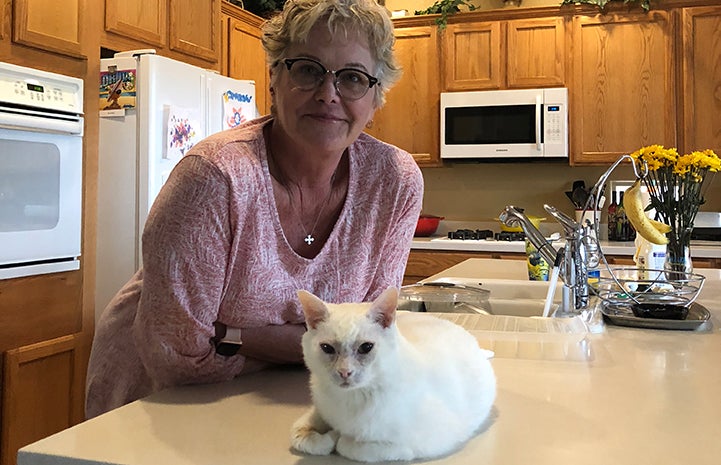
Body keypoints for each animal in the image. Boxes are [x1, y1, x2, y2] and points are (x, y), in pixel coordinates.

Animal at [286, 286, 496, 460]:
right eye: (327, 348)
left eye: (366, 347)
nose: (345, 372)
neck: (352, 397)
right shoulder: (319, 410)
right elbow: (300, 436)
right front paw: (327, 436)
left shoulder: (419, 443)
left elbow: (347, 445)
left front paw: (337, 435)